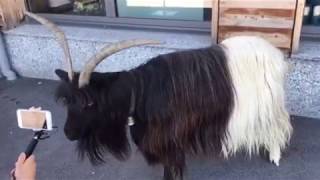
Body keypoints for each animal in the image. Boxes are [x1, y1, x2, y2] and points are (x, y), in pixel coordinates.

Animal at [25, 11, 292, 179]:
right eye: (67, 101)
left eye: (90, 102)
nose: (68, 133)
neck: (140, 93)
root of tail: (275, 53)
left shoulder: (170, 139)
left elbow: (170, 168)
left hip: (268, 103)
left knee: (278, 126)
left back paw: (275, 156)